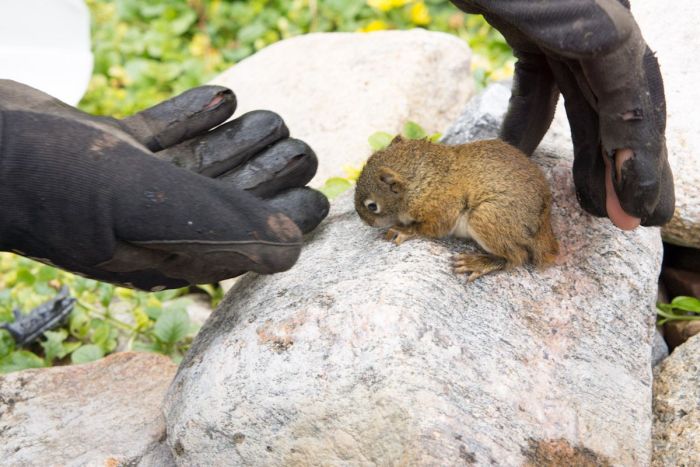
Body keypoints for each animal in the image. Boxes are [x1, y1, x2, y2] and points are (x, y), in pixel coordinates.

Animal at [356, 135, 556, 282]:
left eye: (372, 206)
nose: (366, 223)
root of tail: (543, 227)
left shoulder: (442, 206)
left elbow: (432, 227)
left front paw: (403, 230)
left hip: (486, 219)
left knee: (517, 256)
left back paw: (478, 263)